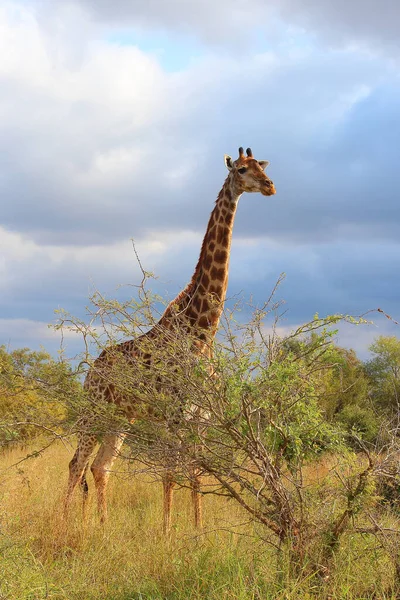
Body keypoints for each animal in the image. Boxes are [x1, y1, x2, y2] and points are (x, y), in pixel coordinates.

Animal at [64, 148, 276, 532]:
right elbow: (169, 473)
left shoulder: (201, 418)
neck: (202, 332)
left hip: (121, 419)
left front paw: (199, 532)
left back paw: (102, 528)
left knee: (100, 467)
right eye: (241, 170)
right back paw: (61, 526)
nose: (270, 186)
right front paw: (166, 534)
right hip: (95, 411)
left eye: (262, 166)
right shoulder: (175, 415)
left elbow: (197, 473)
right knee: (76, 464)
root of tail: (92, 371)